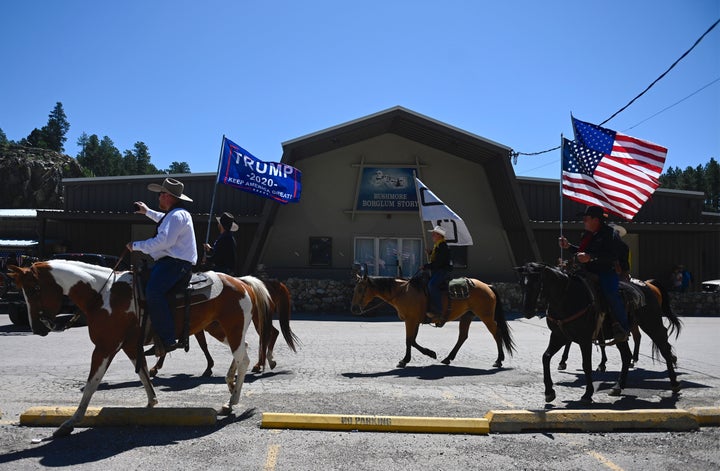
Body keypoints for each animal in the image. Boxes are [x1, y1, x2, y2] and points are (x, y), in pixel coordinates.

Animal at [7, 260, 272, 436]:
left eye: (34, 289)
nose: (37, 328)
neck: (103, 295)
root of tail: (241, 282)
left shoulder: (105, 347)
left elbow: (92, 383)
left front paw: (72, 421)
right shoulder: (128, 346)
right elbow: (143, 372)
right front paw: (151, 403)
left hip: (231, 327)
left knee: (244, 358)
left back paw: (233, 399)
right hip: (218, 329)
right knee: (243, 349)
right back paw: (230, 386)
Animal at [149, 278, 298, 378]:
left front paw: (156, 367)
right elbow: (202, 345)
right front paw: (209, 367)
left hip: (259, 319)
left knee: (266, 335)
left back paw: (261, 363)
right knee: (273, 333)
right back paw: (267, 361)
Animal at [350, 272, 516, 368]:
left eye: (360, 289)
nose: (353, 309)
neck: (403, 292)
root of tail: (487, 286)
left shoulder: (410, 320)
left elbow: (409, 340)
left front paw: (406, 360)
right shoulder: (414, 321)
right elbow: (412, 340)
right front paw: (428, 353)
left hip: (486, 316)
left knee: (497, 333)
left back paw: (499, 360)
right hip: (467, 316)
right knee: (462, 336)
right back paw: (448, 358)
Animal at [516, 264, 676, 404]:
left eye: (537, 283)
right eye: (521, 284)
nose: (527, 311)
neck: (567, 298)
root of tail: (647, 285)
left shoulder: (584, 339)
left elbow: (586, 364)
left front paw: (587, 394)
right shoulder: (558, 336)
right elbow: (546, 357)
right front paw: (549, 391)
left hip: (652, 324)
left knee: (664, 347)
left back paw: (674, 382)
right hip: (622, 335)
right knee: (626, 355)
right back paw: (618, 386)